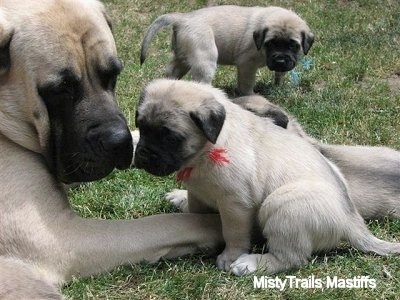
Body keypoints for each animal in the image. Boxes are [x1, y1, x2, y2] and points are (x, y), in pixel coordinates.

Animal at [134, 78, 400, 276]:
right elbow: (196, 211)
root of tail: (352, 222)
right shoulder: (198, 192)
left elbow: (233, 233)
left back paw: (250, 263)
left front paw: (230, 257)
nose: (143, 153)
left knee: (291, 258)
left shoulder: (235, 205)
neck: (206, 151)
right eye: (141, 127)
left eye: (170, 137)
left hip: (281, 206)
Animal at [140, 5, 312, 95]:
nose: (281, 60)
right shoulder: (247, 65)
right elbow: (247, 83)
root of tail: (182, 18)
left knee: (171, 72)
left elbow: (279, 74)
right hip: (205, 59)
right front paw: (250, 96)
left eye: (293, 45)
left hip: (182, 58)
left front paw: (278, 86)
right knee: (201, 81)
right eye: (270, 43)